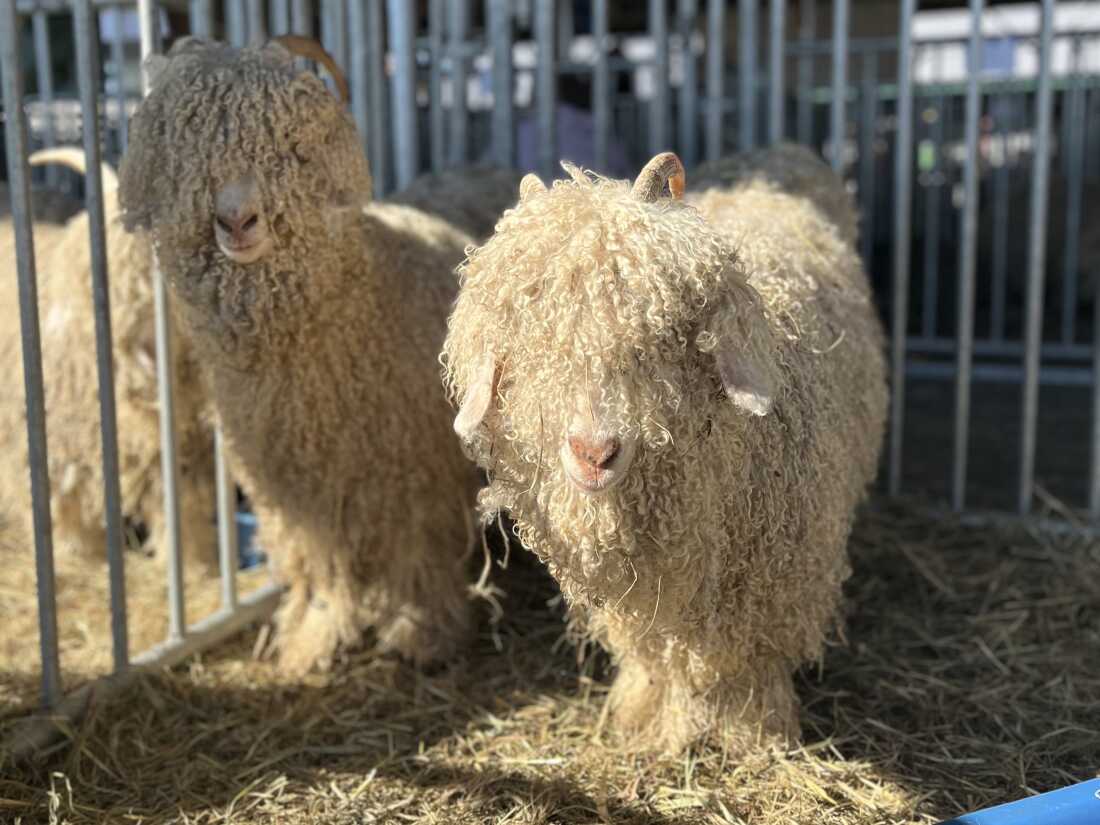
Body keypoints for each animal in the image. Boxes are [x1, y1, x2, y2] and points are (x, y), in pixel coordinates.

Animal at [0, 148, 216, 565]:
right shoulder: (54, 459)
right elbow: (66, 522)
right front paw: (79, 560)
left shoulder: (180, 458)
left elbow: (180, 517)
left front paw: (194, 566)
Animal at [116, 36, 482, 675]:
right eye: (186, 149)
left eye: (289, 144)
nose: (236, 220)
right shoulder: (292, 484)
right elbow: (317, 561)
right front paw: (315, 636)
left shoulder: (411, 464)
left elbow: (414, 548)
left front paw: (421, 633)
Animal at [442, 145, 889, 754]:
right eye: (529, 338)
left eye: (667, 332)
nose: (594, 453)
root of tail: (780, 151)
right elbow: (656, 660)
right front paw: (644, 715)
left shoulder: (778, 587)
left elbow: (752, 667)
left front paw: (760, 734)